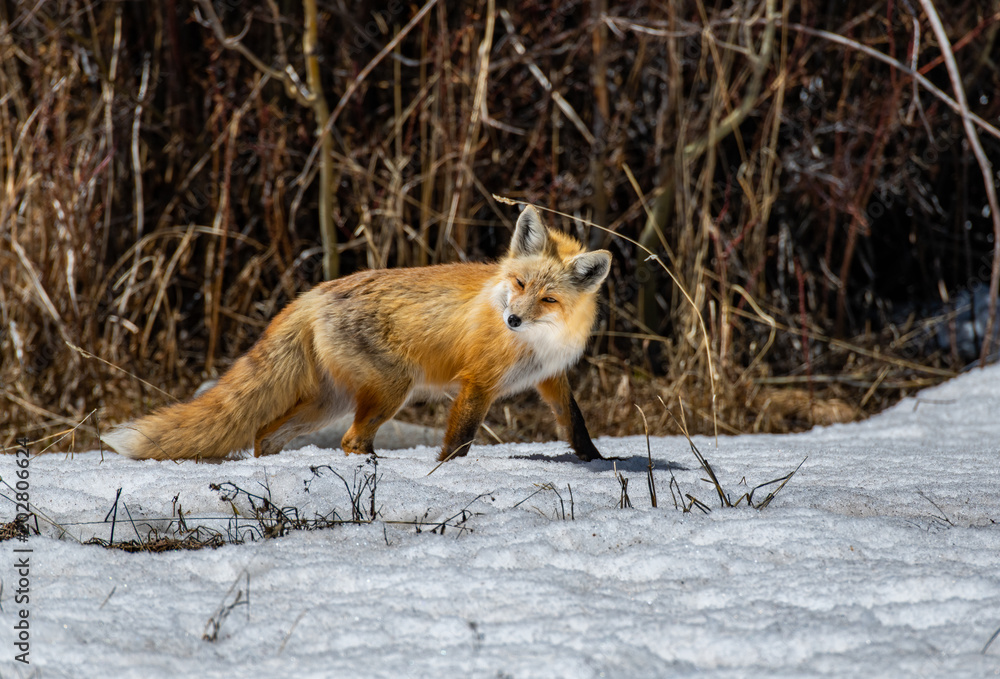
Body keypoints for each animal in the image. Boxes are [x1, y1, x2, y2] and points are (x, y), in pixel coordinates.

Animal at [103, 205, 612, 463]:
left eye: (548, 299)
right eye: (519, 284)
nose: (512, 322)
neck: (541, 342)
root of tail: (312, 293)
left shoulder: (551, 377)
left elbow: (575, 424)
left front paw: (595, 462)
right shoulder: (478, 383)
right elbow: (459, 442)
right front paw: (446, 474)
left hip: (329, 403)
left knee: (266, 434)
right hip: (390, 391)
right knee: (349, 440)